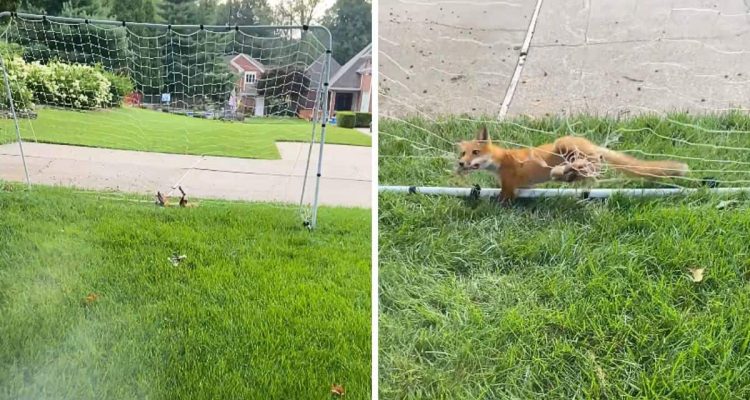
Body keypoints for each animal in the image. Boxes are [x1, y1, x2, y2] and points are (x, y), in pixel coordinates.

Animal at [456, 126, 692, 202]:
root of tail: (590, 143)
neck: (500, 161)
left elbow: (503, 198)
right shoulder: (524, 184)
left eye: (475, 152)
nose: (460, 163)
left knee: (594, 162)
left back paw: (572, 169)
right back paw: (569, 173)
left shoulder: (509, 184)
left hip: (565, 145)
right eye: (463, 153)